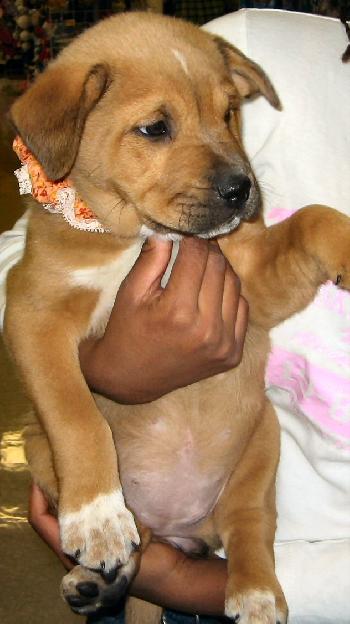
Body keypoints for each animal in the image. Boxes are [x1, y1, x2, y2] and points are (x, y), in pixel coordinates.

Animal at [4, 9, 350, 624]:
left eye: (230, 112)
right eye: (154, 129)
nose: (242, 190)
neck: (142, 235)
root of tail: (178, 529)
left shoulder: (251, 280)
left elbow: (314, 219)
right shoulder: (32, 310)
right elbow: (77, 415)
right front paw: (95, 517)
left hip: (261, 445)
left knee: (249, 528)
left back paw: (256, 592)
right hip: (39, 446)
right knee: (141, 539)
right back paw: (97, 575)